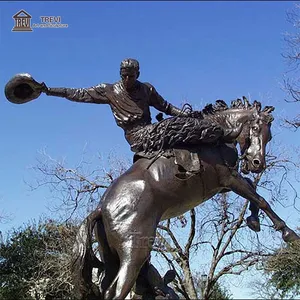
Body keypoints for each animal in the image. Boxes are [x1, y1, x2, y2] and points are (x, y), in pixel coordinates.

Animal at [71, 97, 298, 298]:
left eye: (269, 137)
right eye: (256, 129)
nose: (258, 163)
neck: (218, 135)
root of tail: (102, 208)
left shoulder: (223, 186)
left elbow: (252, 189)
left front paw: (253, 220)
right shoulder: (229, 178)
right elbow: (260, 198)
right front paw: (289, 234)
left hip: (111, 258)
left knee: (108, 289)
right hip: (134, 253)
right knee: (119, 291)